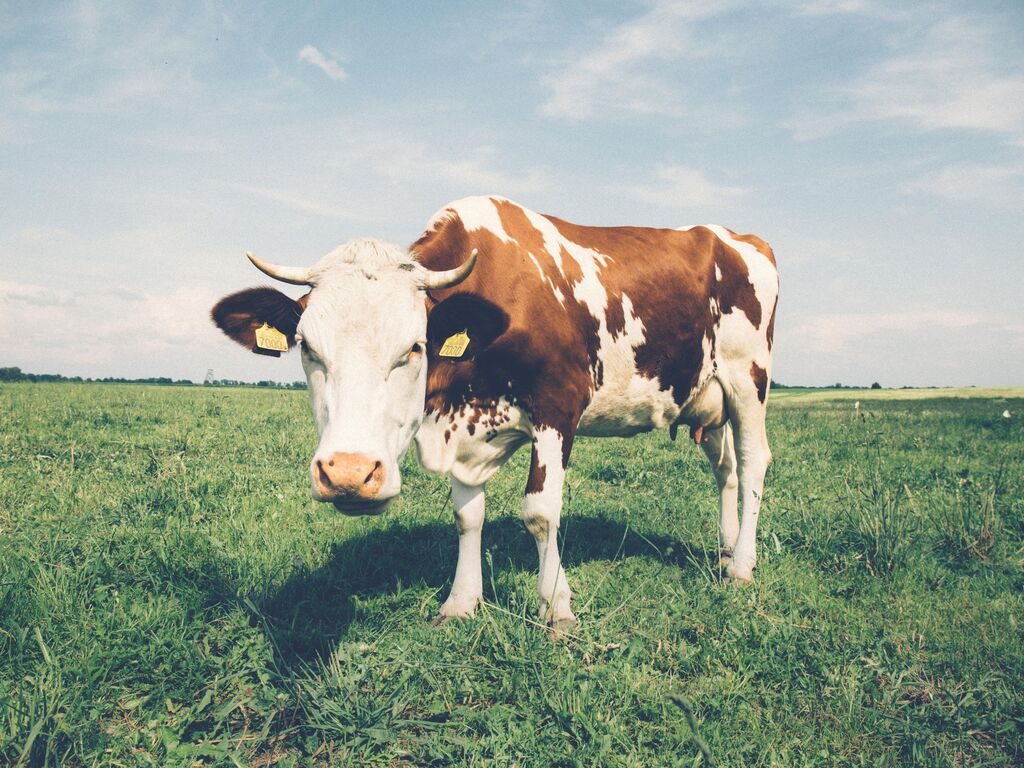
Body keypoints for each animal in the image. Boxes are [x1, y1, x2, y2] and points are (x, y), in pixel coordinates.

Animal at [211, 196, 778, 630]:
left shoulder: (558, 407)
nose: (349, 474)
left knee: (753, 463)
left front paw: (556, 607)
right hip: (707, 398)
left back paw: (742, 566)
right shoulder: (459, 429)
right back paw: (725, 549)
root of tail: (736, 236)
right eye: (307, 347)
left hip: (748, 378)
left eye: (415, 347)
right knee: (725, 469)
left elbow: (541, 513)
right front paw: (461, 602)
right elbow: (468, 516)